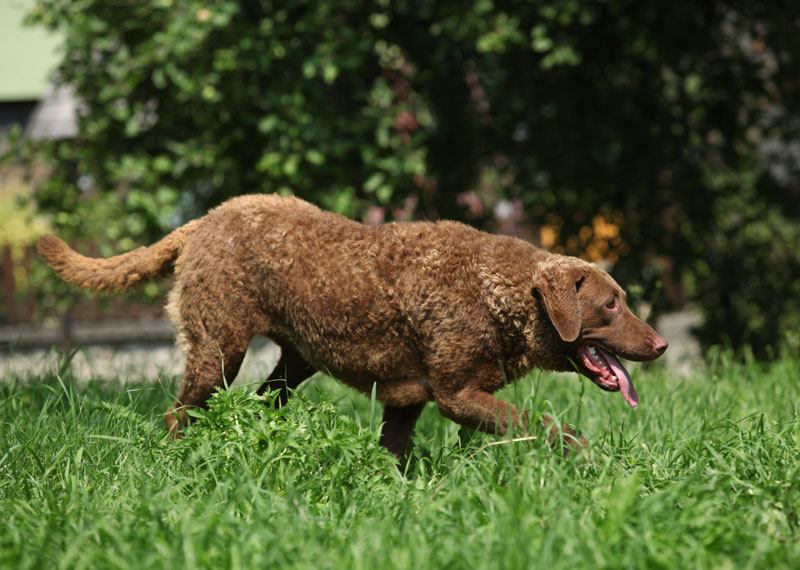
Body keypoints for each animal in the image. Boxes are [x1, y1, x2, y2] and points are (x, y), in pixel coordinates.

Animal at [37, 195, 664, 458]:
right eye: (611, 305)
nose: (660, 344)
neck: (496, 295)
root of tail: (202, 221)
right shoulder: (457, 393)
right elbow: (547, 424)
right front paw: (590, 458)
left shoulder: (410, 398)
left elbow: (394, 454)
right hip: (219, 348)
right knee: (177, 414)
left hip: (295, 360)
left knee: (263, 402)